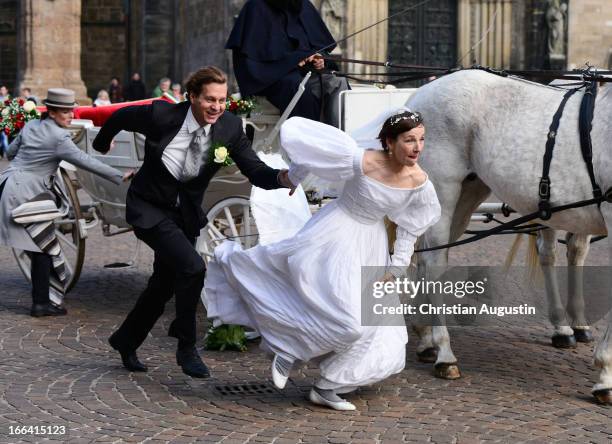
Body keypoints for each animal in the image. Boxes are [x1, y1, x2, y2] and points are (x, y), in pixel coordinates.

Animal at [406, 67, 612, 404]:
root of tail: (420, 94)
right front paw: (605, 375)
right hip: (443, 189)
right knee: (434, 264)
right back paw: (444, 353)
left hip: (469, 192)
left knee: (423, 259)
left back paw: (425, 338)